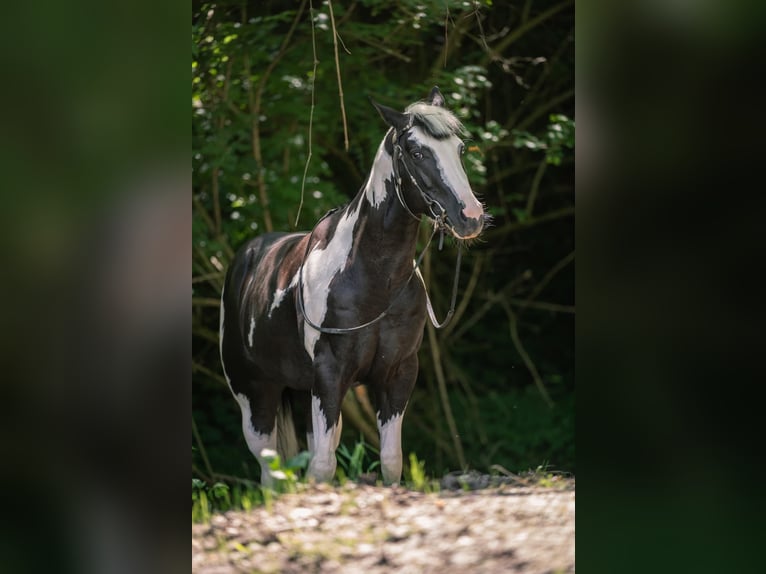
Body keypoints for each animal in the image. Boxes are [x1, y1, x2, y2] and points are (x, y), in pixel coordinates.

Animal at [219, 86, 485, 486]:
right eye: (417, 152)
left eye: (460, 149)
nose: (471, 217)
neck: (373, 279)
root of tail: (248, 257)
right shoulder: (330, 377)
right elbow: (323, 467)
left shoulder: (398, 373)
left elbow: (390, 460)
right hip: (254, 395)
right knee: (271, 472)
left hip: (302, 392)